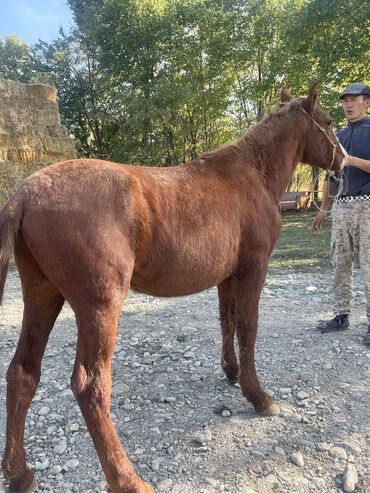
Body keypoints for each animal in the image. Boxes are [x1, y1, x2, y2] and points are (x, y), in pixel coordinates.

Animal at [1, 84, 346, 492]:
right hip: (99, 306)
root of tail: (25, 193)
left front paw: (231, 372)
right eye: (328, 122)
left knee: (22, 373)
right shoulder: (253, 270)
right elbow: (248, 328)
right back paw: (127, 479)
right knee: (91, 387)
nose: (343, 161)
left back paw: (19, 473)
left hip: (42, 294)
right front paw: (259, 396)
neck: (249, 176)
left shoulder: (228, 276)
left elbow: (227, 321)